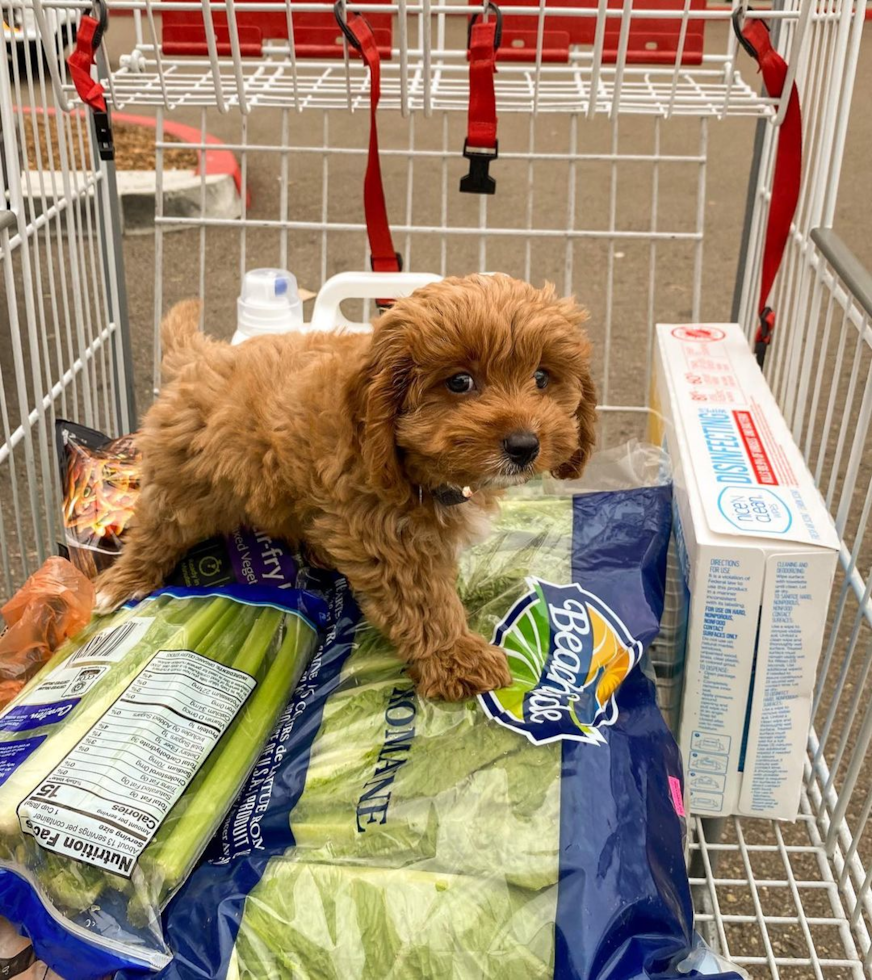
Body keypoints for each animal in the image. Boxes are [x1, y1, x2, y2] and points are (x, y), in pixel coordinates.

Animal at [97, 276, 600, 700]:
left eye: (541, 377)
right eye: (460, 382)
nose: (525, 445)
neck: (412, 464)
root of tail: (202, 358)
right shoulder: (384, 534)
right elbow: (423, 601)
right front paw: (454, 656)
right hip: (184, 484)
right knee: (156, 530)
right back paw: (121, 583)